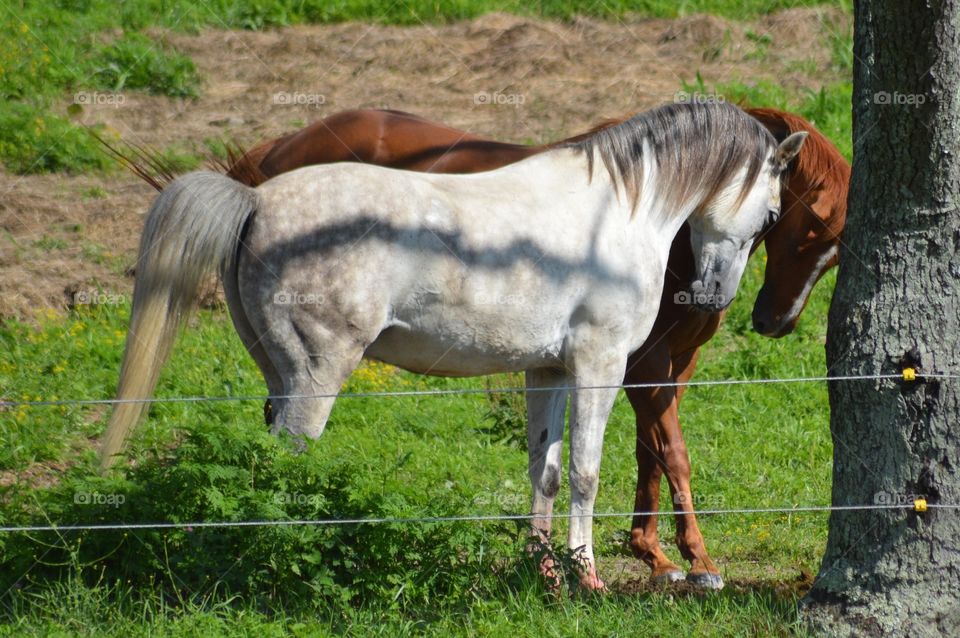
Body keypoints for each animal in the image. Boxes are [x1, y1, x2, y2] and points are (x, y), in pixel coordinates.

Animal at [114, 105, 848, 592]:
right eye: (779, 214)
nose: (713, 295)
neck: (620, 213)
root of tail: (256, 200)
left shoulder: (547, 370)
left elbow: (544, 473)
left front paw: (546, 574)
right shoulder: (601, 366)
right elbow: (586, 472)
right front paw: (590, 580)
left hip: (277, 374)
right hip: (315, 377)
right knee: (287, 460)